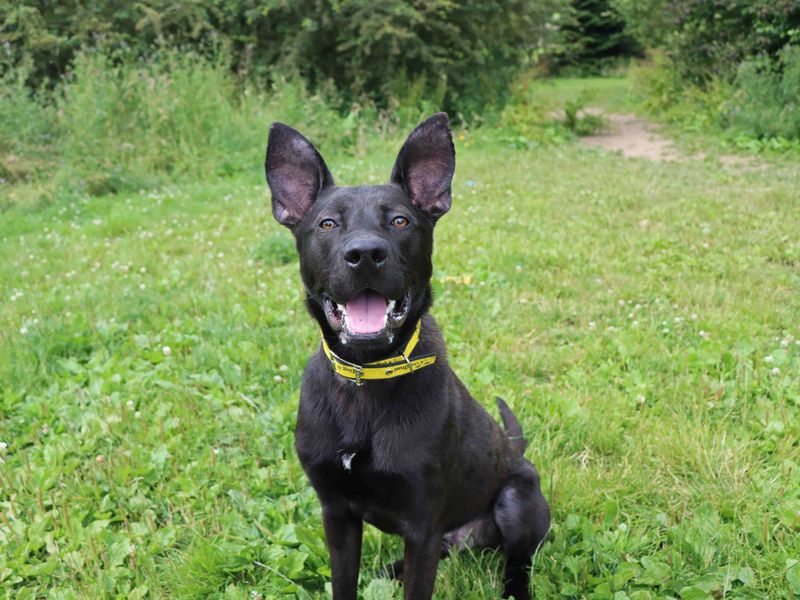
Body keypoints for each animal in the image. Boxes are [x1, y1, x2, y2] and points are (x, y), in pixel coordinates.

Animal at [266, 113, 548, 600]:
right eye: (327, 224)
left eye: (400, 220)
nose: (365, 254)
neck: (366, 377)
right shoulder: (336, 513)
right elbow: (344, 583)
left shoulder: (422, 528)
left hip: (516, 498)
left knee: (519, 562)